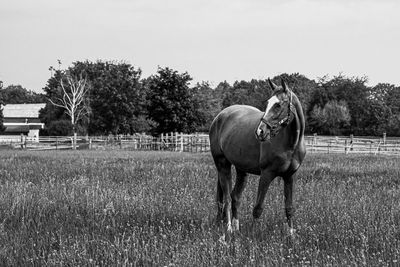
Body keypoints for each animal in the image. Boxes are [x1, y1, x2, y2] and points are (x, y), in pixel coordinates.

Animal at [209, 78, 306, 234]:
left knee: (235, 197)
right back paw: (229, 228)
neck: (291, 143)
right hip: (222, 165)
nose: (260, 131)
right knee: (227, 198)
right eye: (267, 103)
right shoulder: (266, 174)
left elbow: (289, 208)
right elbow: (258, 208)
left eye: (278, 105)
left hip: (241, 170)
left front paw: (291, 235)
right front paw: (254, 235)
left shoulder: (289, 176)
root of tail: (219, 116)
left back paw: (236, 228)